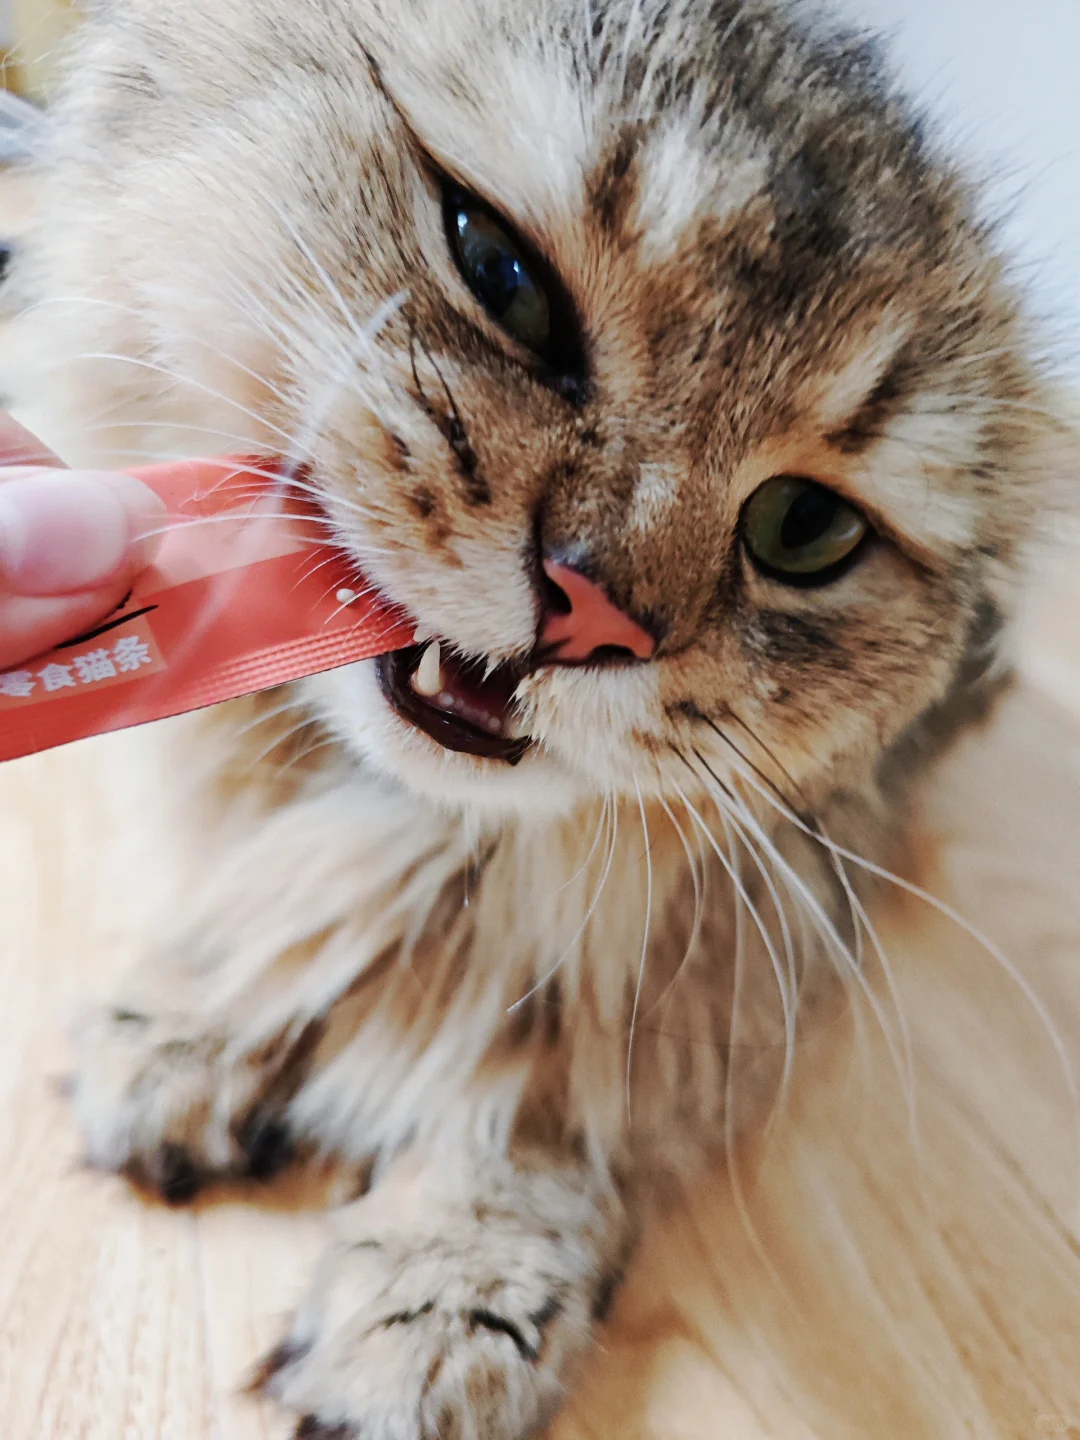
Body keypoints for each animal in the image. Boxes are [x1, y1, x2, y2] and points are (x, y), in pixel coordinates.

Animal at [8, 2, 1077, 1440]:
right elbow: (269, 904)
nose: (593, 611)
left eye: (806, 530)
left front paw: (447, 1286)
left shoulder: (757, 919)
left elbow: (567, 1098)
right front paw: (200, 1017)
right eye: (499, 273)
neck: (409, 828)